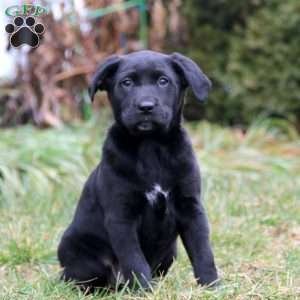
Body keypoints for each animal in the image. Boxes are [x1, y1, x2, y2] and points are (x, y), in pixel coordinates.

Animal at [57, 51, 218, 290]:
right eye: (127, 82)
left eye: (163, 81)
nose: (146, 107)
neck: (151, 147)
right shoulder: (121, 216)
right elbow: (134, 259)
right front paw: (144, 290)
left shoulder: (191, 207)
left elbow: (202, 250)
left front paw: (211, 286)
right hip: (79, 253)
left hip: (171, 251)